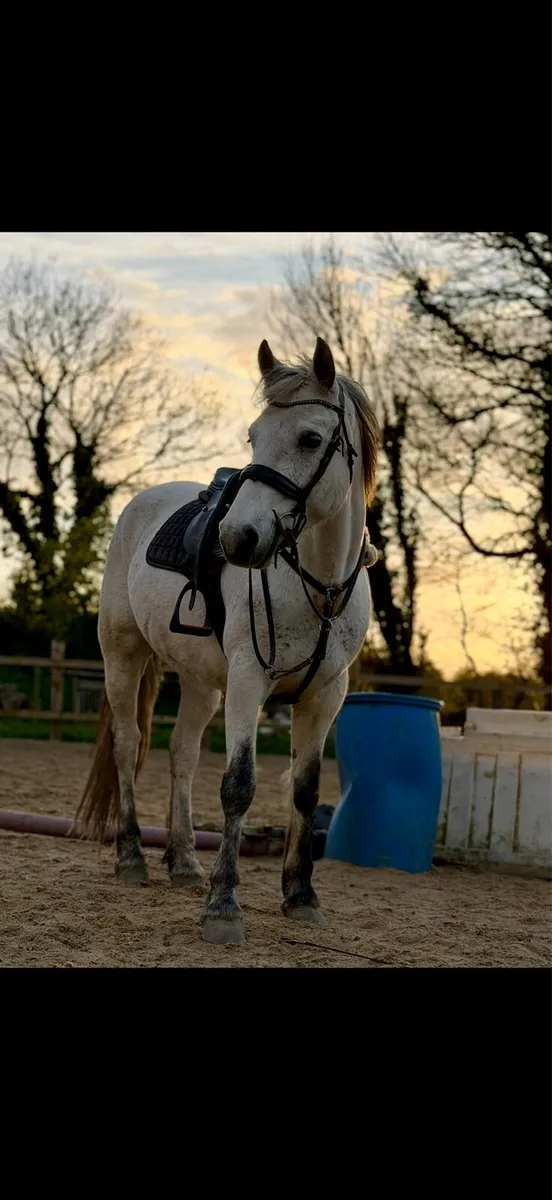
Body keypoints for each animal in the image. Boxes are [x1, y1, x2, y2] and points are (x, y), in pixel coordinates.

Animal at [76, 336, 379, 944]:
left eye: (310, 439)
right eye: (253, 437)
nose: (237, 538)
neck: (321, 586)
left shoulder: (324, 698)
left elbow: (305, 791)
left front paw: (300, 896)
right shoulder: (248, 683)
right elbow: (239, 785)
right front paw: (223, 907)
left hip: (200, 683)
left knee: (182, 754)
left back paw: (184, 862)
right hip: (123, 658)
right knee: (127, 744)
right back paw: (132, 858)